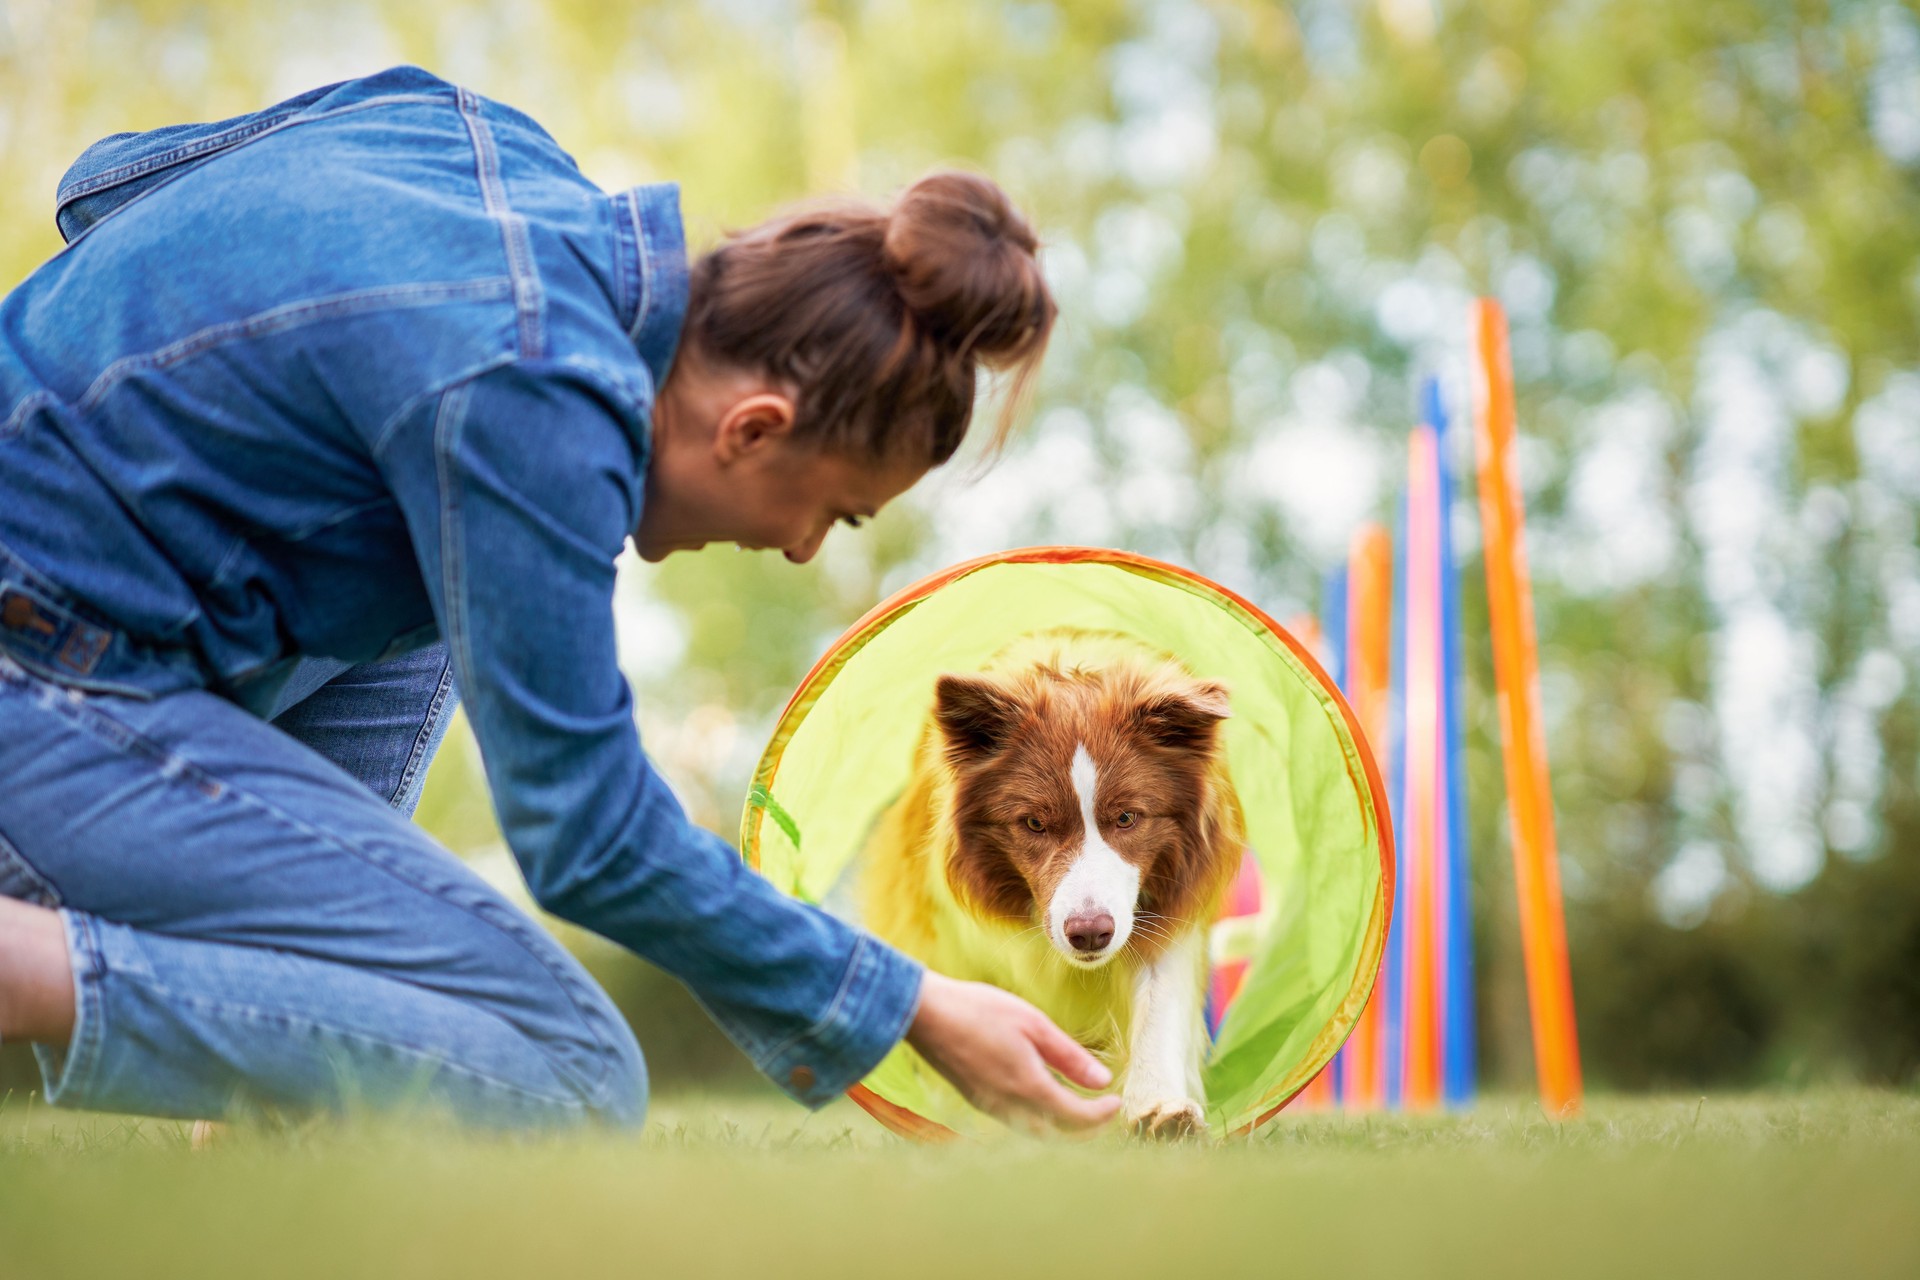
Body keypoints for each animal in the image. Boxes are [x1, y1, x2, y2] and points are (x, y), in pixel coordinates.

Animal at [860, 629, 1244, 1143]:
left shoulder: (1164, 904)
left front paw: (1159, 1108)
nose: (1090, 933)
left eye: (1127, 817)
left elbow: (1158, 999)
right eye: (1034, 823)